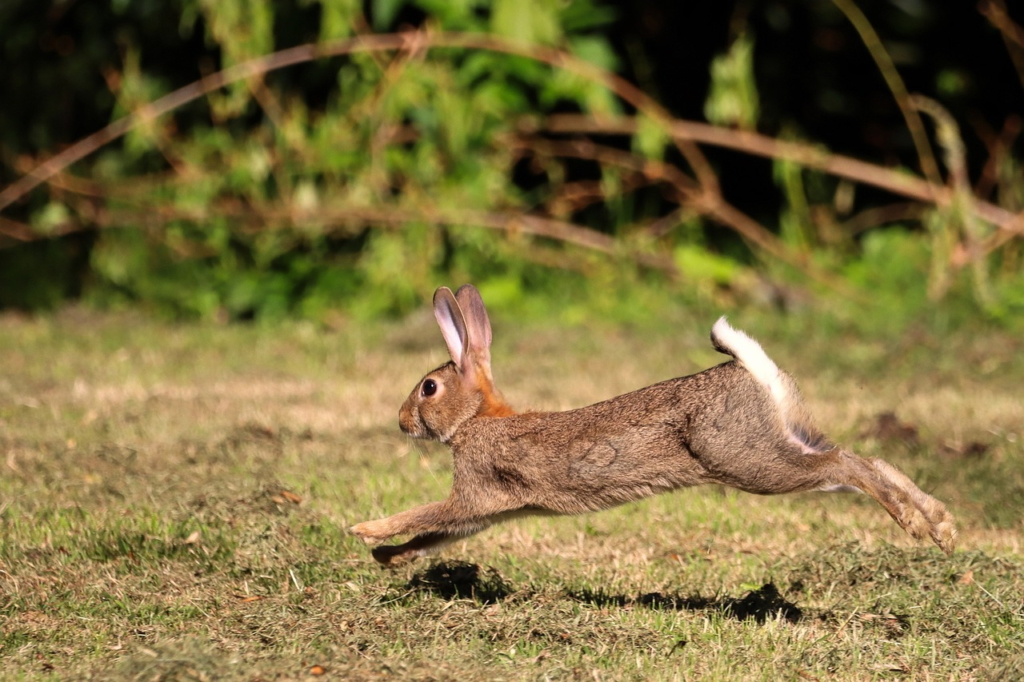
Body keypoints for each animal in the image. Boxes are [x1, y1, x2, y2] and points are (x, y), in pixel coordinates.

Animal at [348, 280, 954, 561]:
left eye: (428, 388)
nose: (401, 421)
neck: (477, 419)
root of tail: (750, 372)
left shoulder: (475, 491)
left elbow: (427, 514)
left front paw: (365, 531)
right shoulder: (490, 510)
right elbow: (437, 535)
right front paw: (388, 559)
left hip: (752, 463)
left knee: (844, 465)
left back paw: (916, 524)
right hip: (789, 438)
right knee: (862, 457)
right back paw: (940, 524)